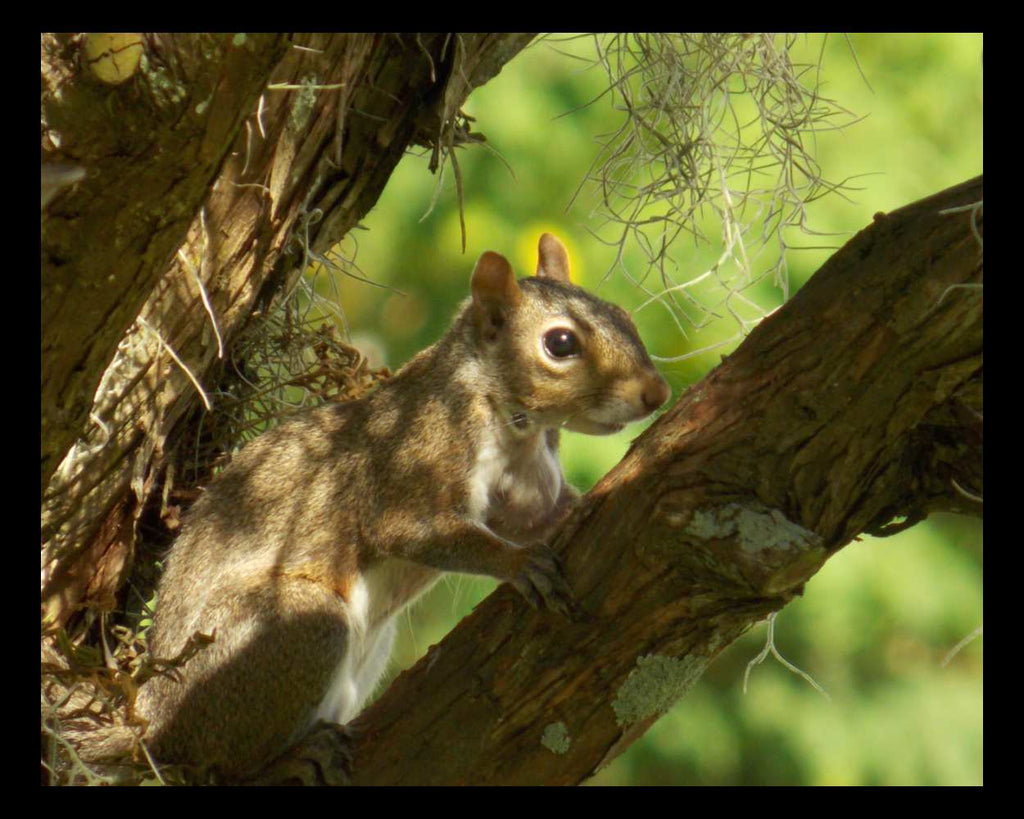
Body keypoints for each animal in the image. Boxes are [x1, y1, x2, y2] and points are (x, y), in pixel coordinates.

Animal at [71, 233, 670, 782]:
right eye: (561, 344)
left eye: (621, 314)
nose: (657, 394)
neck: (512, 424)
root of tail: (150, 720)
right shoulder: (412, 461)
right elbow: (418, 532)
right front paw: (518, 564)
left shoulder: (523, 495)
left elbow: (535, 518)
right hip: (292, 630)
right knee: (214, 762)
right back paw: (291, 757)